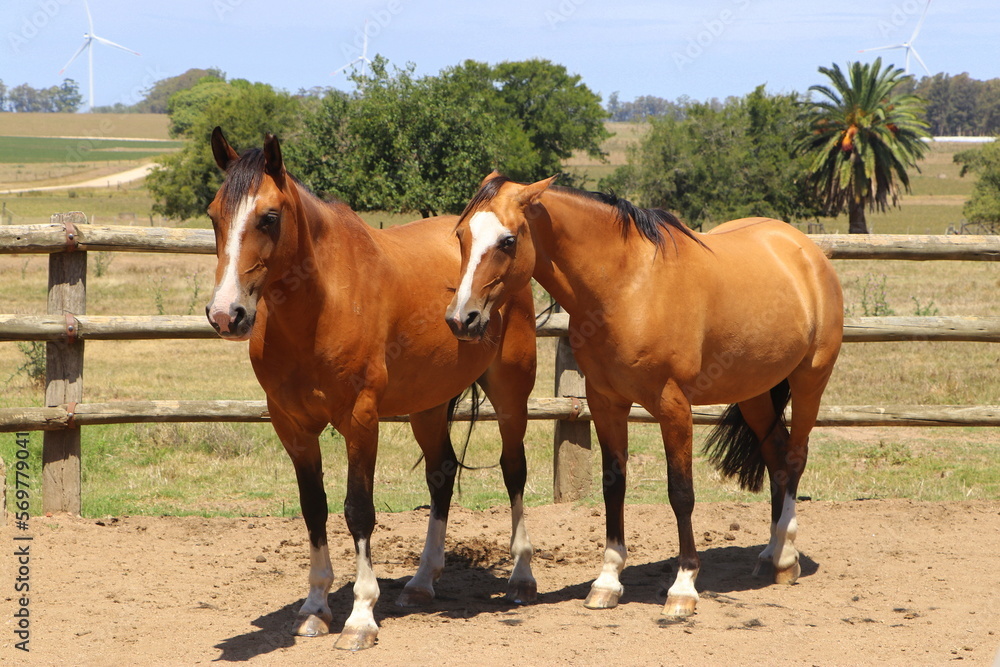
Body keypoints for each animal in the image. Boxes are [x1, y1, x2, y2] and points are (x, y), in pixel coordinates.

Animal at [205, 132, 540, 652]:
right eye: (213, 215)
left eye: (269, 217)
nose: (227, 315)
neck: (322, 304)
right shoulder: (292, 427)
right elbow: (314, 508)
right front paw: (315, 608)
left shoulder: (360, 420)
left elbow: (358, 510)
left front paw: (360, 617)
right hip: (428, 405)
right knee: (442, 475)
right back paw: (421, 583)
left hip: (510, 395)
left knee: (513, 470)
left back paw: (521, 578)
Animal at [448, 174, 844, 620]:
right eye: (461, 236)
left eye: (508, 241)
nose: (462, 318)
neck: (627, 287)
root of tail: (805, 249)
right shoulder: (605, 403)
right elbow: (613, 486)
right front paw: (607, 581)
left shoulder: (673, 406)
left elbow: (681, 493)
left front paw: (683, 587)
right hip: (755, 392)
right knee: (776, 455)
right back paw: (771, 556)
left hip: (810, 380)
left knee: (794, 457)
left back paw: (786, 557)